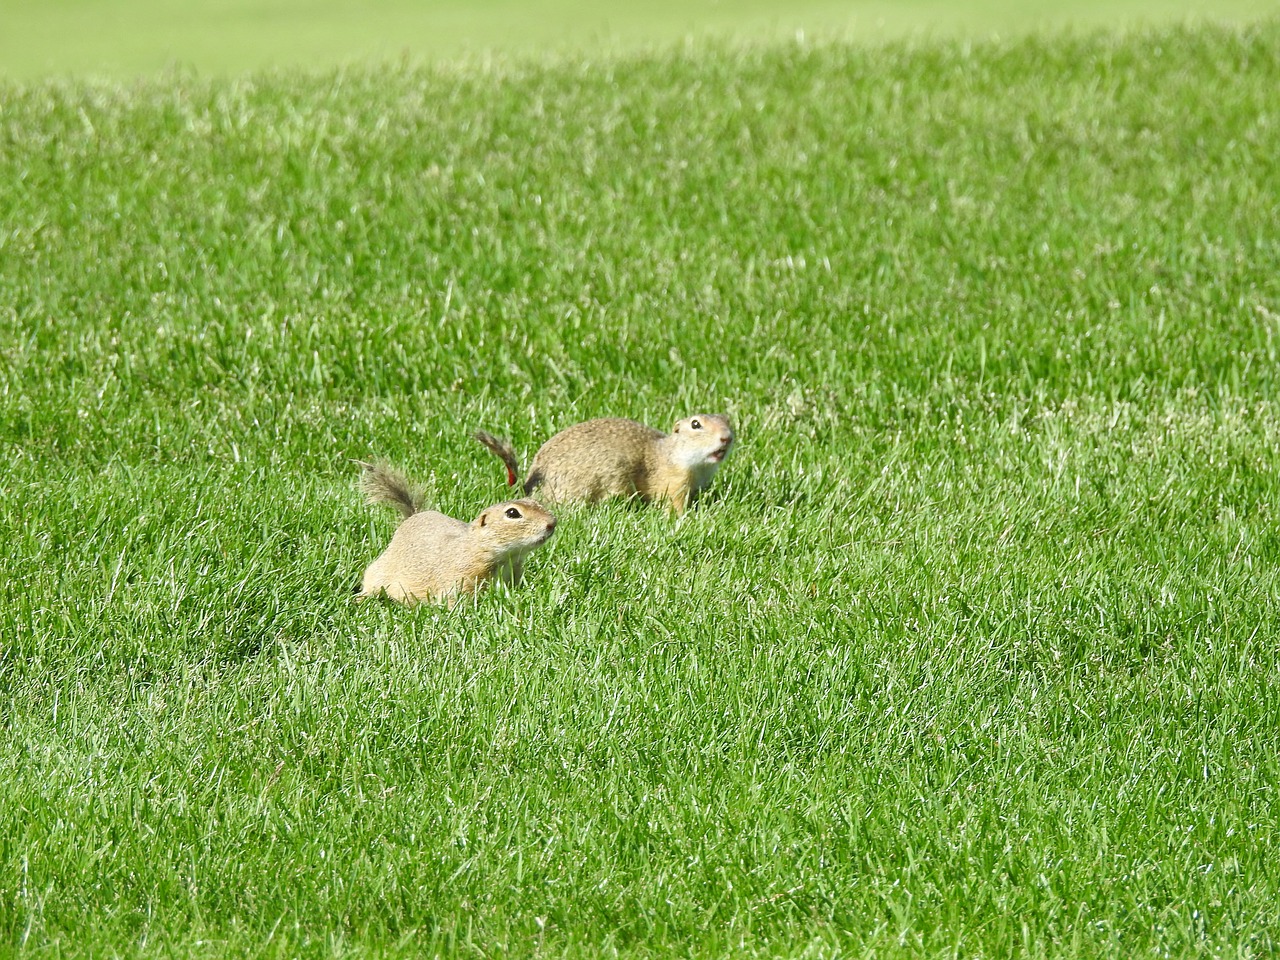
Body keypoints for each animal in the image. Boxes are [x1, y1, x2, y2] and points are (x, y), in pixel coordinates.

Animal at [473, 414, 737, 519]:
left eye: (727, 420)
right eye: (696, 424)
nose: (727, 437)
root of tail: (529, 486)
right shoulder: (675, 482)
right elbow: (675, 504)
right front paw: (685, 517)